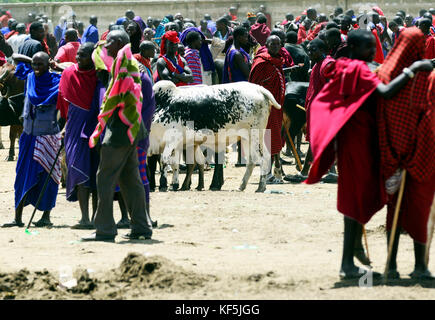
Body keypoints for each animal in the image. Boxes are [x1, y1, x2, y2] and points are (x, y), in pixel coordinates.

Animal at [152, 80, 282, 192]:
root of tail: (259, 89)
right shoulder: (177, 145)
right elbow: (174, 163)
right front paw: (174, 184)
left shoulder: (172, 140)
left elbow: (165, 160)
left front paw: (166, 184)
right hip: (248, 138)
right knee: (255, 159)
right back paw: (242, 185)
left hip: (255, 135)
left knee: (262, 158)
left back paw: (260, 186)